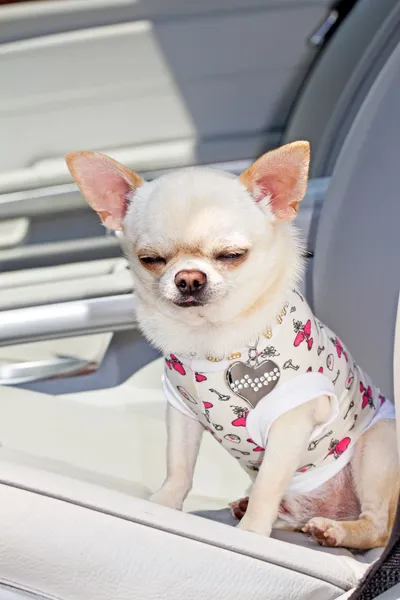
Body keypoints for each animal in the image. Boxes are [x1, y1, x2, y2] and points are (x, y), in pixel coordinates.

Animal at [67, 144, 398, 548]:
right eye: (151, 259)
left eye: (231, 255)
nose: (188, 278)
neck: (211, 338)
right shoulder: (182, 411)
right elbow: (178, 467)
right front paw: (163, 506)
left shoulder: (291, 422)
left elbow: (268, 484)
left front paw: (252, 534)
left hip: (377, 444)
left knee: (377, 527)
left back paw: (335, 531)